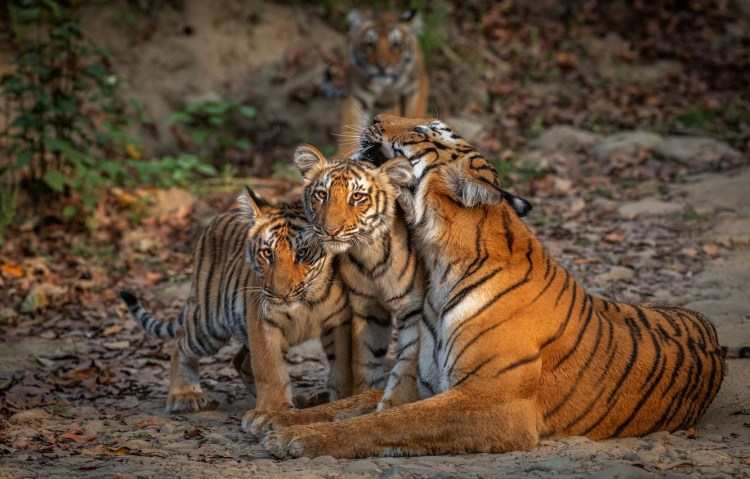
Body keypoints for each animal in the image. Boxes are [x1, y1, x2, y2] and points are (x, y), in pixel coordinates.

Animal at [119, 188, 353, 416]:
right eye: (267, 253)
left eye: (302, 253)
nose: (279, 294)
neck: (306, 302)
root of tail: (220, 215)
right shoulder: (262, 323)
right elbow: (269, 369)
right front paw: (274, 410)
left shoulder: (339, 323)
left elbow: (342, 365)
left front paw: (342, 398)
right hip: (209, 326)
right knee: (180, 341)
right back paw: (185, 395)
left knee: (239, 361)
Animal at [254, 114, 727, 459]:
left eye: (424, 131)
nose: (374, 116)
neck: (439, 260)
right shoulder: (424, 381)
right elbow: (360, 405)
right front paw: (275, 420)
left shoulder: (494, 402)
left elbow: (386, 422)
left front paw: (297, 440)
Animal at [336, 9, 428, 157]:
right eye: (370, 44)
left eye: (396, 45)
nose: (381, 67)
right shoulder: (359, 95)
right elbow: (350, 124)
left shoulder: (415, 86)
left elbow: (414, 114)